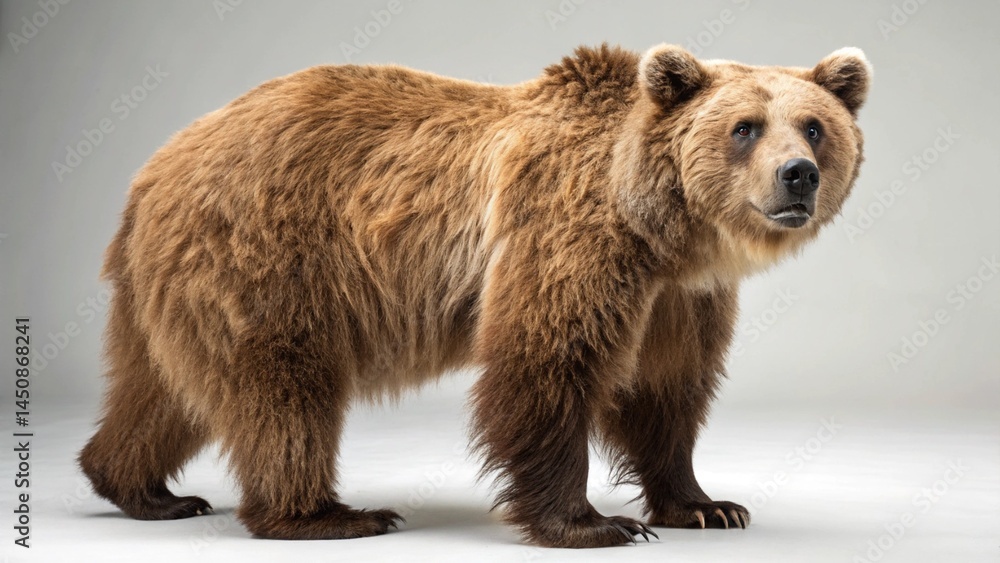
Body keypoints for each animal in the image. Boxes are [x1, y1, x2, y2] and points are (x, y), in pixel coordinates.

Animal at [79, 43, 870, 548]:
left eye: (814, 126)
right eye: (745, 128)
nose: (797, 175)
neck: (664, 226)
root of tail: (153, 172)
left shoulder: (680, 295)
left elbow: (666, 388)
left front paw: (706, 505)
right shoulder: (572, 238)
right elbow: (547, 361)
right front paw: (592, 522)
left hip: (168, 286)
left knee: (159, 390)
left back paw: (144, 489)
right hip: (270, 257)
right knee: (284, 389)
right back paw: (327, 514)